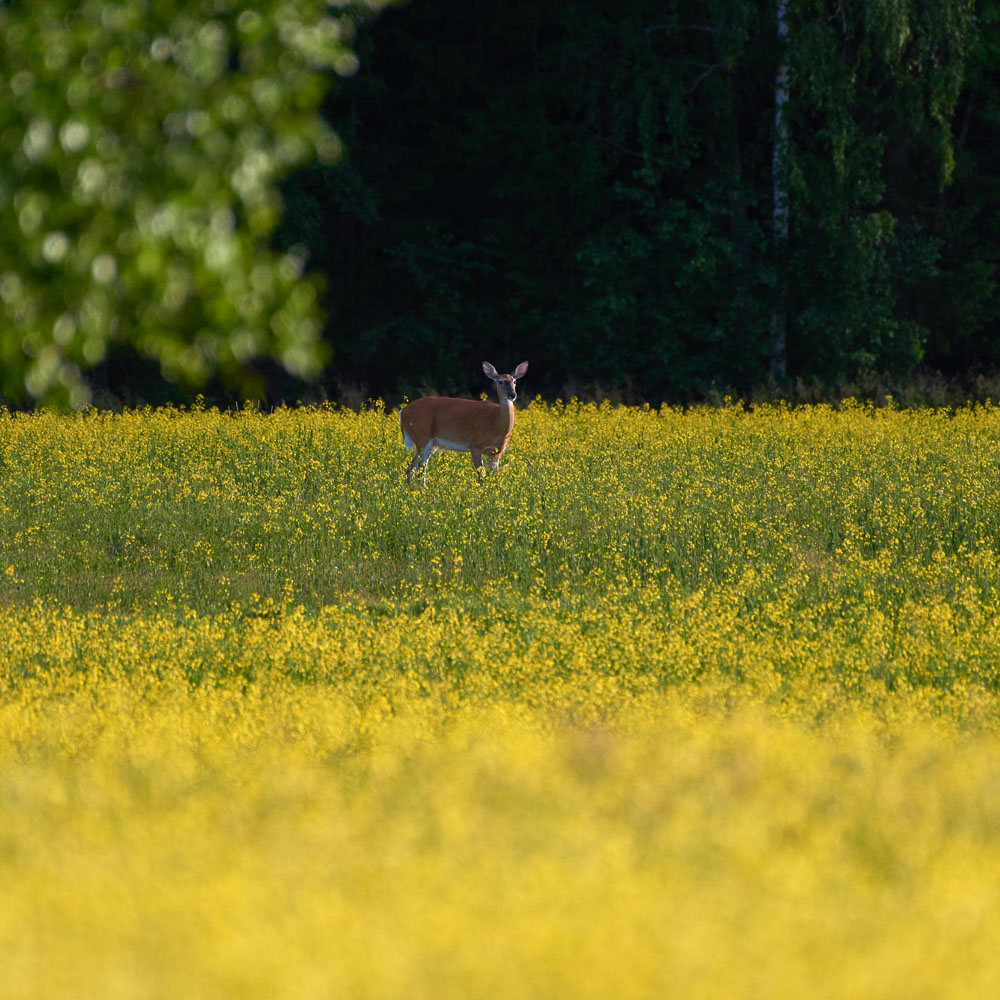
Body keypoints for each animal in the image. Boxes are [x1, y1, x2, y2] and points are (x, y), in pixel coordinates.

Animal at [396, 360, 528, 484]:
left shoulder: (496, 452)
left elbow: (494, 476)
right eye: (500, 381)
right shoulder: (475, 445)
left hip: (431, 443)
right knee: (419, 467)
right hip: (422, 436)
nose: (512, 395)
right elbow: (481, 476)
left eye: (514, 381)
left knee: (411, 467)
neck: (495, 421)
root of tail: (402, 412)